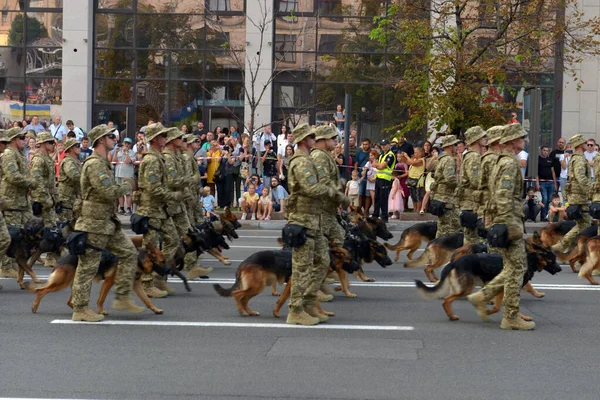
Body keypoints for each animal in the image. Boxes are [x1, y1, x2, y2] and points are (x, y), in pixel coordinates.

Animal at [25, 244, 188, 316]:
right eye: (162, 261)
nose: (171, 271)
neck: (138, 259)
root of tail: (62, 258)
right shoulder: (109, 282)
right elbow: (101, 298)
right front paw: (101, 311)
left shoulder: (136, 286)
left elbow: (147, 300)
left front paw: (155, 309)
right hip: (62, 283)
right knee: (41, 291)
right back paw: (34, 306)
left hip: (78, 282)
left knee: (69, 301)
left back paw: (82, 310)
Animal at [414, 244, 560, 322]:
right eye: (552, 260)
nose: (560, 268)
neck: (530, 260)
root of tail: (455, 262)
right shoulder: (504, 289)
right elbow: (499, 306)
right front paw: (487, 312)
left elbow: (509, 305)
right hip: (466, 289)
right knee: (447, 300)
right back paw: (452, 315)